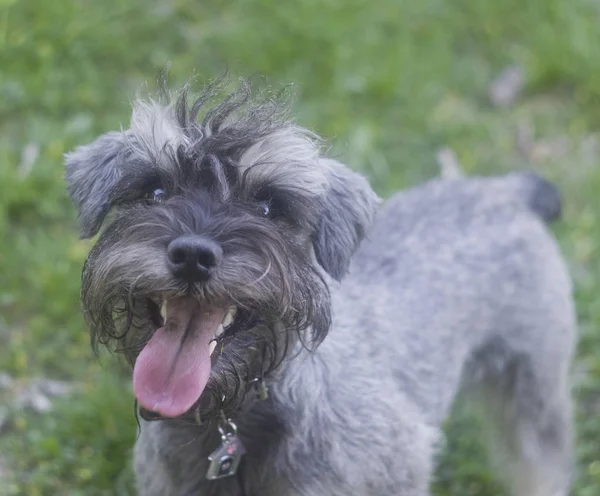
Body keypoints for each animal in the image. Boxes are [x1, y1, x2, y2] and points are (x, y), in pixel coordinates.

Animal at [65, 79, 576, 494]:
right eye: (154, 191)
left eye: (270, 206)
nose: (193, 256)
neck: (232, 423)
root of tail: (508, 191)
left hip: (534, 386)